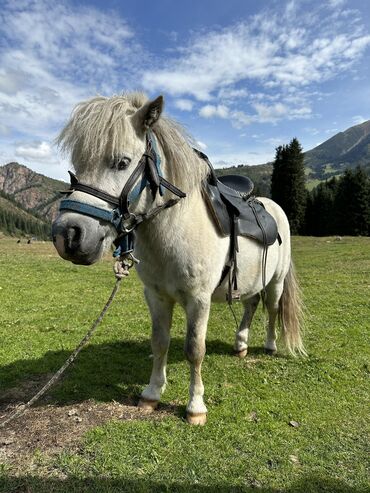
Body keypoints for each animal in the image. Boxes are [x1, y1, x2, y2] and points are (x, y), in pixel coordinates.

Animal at [52, 92, 306, 422]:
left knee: (272, 310)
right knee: (250, 305)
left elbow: (194, 349)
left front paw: (195, 407)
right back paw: (240, 344)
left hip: (275, 281)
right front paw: (151, 394)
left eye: (122, 162)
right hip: (249, 281)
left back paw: (270, 345)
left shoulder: (198, 300)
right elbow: (159, 342)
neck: (175, 227)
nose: (68, 235)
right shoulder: (157, 296)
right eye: (77, 164)